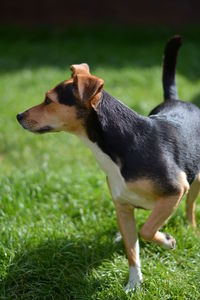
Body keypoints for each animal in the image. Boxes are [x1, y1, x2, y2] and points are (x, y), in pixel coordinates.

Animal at [16, 36, 199, 292]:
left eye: (48, 100)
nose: (18, 116)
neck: (121, 145)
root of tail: (175, 100)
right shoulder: (122, 207)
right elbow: (132, 251)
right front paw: (134, 284)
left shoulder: (175, 190)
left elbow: (147, 230)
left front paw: (167, 241)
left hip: (195, 184)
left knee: (190, 207)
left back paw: (191, 230)